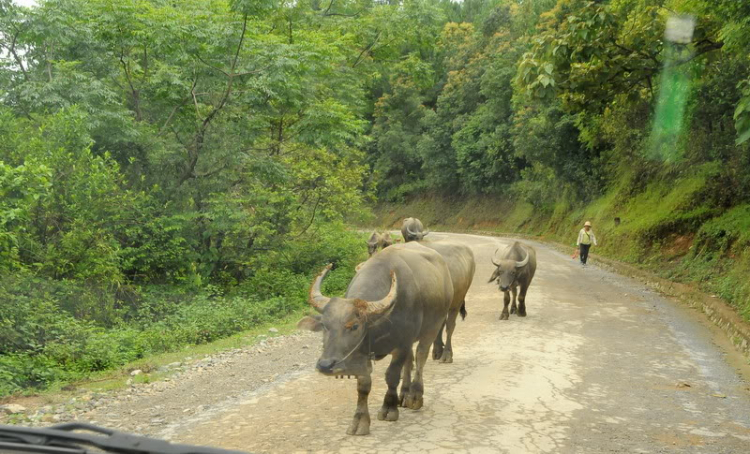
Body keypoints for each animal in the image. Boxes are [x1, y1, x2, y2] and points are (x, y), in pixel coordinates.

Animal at [298, 243, 452, 434]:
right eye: (325, 325)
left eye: (354, 326)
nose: (325, 365)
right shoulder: (361, 352)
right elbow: (363, 384)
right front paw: (360, 421)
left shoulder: (402, 343)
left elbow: (392, 375)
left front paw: (389, 408)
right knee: (410, 361)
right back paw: (404, 394)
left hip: (433, 327)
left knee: (420, 357)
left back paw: (415, 396)